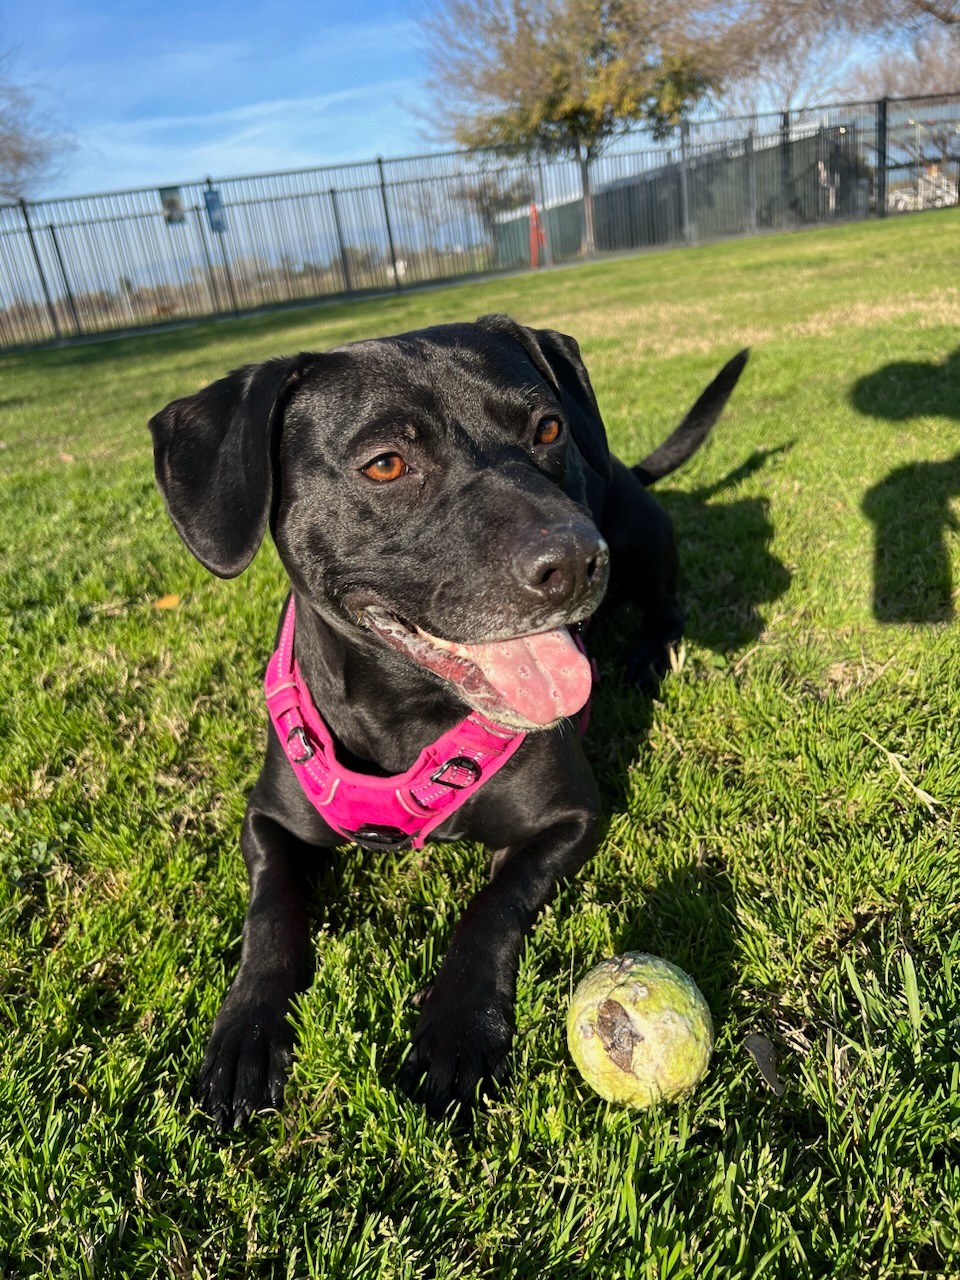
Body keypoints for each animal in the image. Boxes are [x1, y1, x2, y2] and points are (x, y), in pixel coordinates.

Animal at [150, 317, 752, 1131]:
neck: (405, 713)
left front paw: (460, 1027)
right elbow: (269, 913)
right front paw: (246, 1029)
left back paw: (646, 657)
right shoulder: (267, 820)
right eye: (385, 464)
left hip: (644, 541)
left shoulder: (570, 819)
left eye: (549, 428)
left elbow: (491, 908)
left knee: (668, 607)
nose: (575, 561)